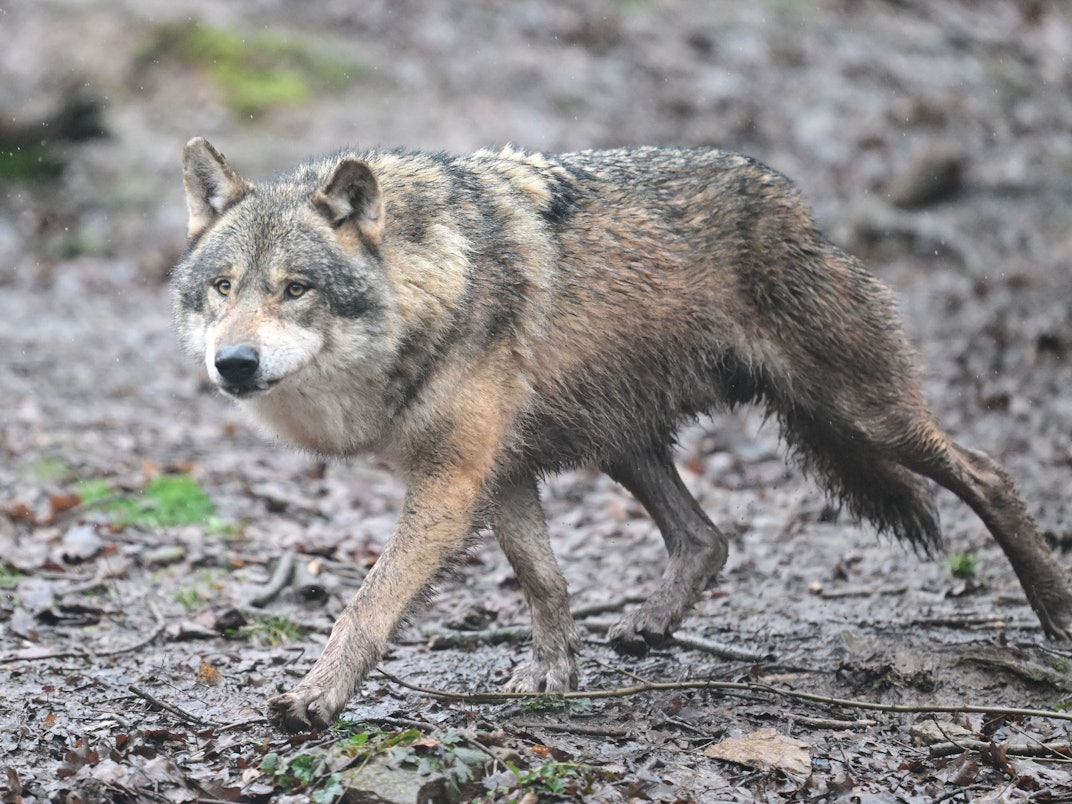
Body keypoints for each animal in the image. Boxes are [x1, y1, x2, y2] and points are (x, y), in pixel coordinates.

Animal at [174, 137, 1072, 732]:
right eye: (223, 287)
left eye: (295, 289)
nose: (234, 363)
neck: (432, 283)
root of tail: (794, 202)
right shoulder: (499, 472)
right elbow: (544, 581)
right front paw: (553, 674)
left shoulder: (452, 479)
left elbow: (367, 605)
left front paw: (314, 697)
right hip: (623, 442)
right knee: (708, 536)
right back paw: (649, 624)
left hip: (861, 415)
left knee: (988, 473)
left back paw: (1056, 611)